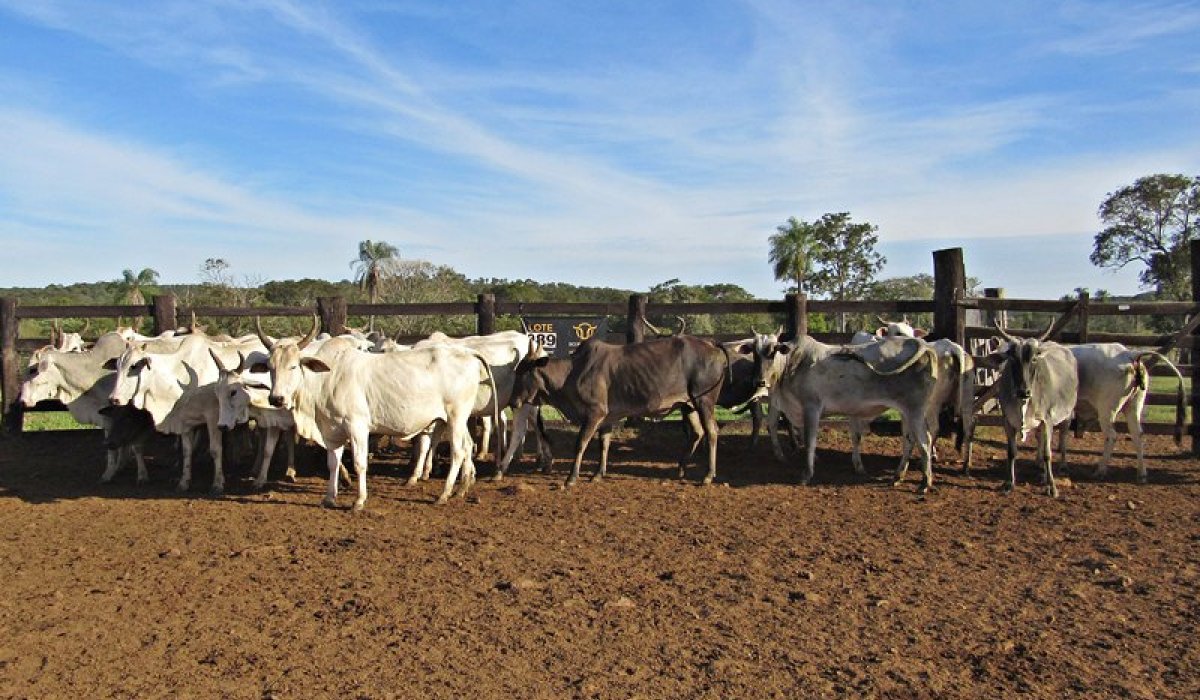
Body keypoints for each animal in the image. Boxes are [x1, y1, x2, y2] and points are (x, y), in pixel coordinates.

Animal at [252, 319, 499, 508]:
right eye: (270, 368)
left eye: (294, 366)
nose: (276, 399)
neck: (326, 378)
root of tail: (468, 352)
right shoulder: (333, 430)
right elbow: (333, 463)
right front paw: (329, 497)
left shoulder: (357, 427)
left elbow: (359, 463)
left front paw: (359, 500)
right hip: (456, 419)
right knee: (468, 446)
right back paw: (462, 489)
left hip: (456, 415)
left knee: (458, 451)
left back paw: (444, 495)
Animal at [506, 335, 730, 486]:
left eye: (523, 372)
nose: (512, 402)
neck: (572, 372)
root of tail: (712, 345)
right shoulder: (607, 418)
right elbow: (604, 444)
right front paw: (598, 474)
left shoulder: (594, 413)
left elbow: (581, 444)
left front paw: (571, 477)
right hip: (688, 405)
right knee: (697, 432)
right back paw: (681, 468)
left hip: (704, 400)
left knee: (712, 431)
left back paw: (707, 475)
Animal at [745, 334, 942, 491]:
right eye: (754, 353)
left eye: (773, 352)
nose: (759, 381)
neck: (793, 363)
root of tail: (920, 343)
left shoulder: (811, 407)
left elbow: (810, 442)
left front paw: (806, 475)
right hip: (906, 411)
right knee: (909, 441)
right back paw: (897, 477)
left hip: (915, 410)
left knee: (924, 441)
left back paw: (924, 483)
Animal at [987, 325, 1079, 497]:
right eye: (1013, 358)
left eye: (1034, 359)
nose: (1024, 392)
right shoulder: (1007, 420)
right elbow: (1011, 452)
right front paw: (1009, 483)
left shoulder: (1047, 420)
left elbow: (1048, 454)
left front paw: (1052, 486)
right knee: (1039, 439)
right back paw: (1039, 466)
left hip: (1067, 415)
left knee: (1062, 439)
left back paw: (1062, 466)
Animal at [1061, 343, 1185, 484]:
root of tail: (1129, 353)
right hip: (1134, 406)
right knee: (1137, 435)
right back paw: (1141, 474)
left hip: (1106, 410)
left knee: (1112, 436)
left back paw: (1100, 471)